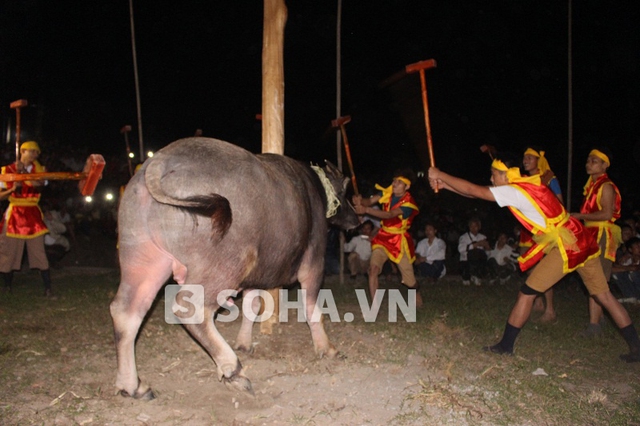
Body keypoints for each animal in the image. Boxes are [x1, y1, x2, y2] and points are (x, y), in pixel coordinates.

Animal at [110, 138, 360, 398]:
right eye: (345, 192)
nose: (356, 220)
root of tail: (161, 161)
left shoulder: (255, 277)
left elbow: (251, 306)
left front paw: (244, 343)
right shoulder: (314, 264)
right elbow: (313, 309)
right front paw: (327, 348)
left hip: (143, 259)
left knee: (126, 311)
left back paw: (133, 386)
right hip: (226, 266)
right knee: (192, 310)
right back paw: (234, 370)